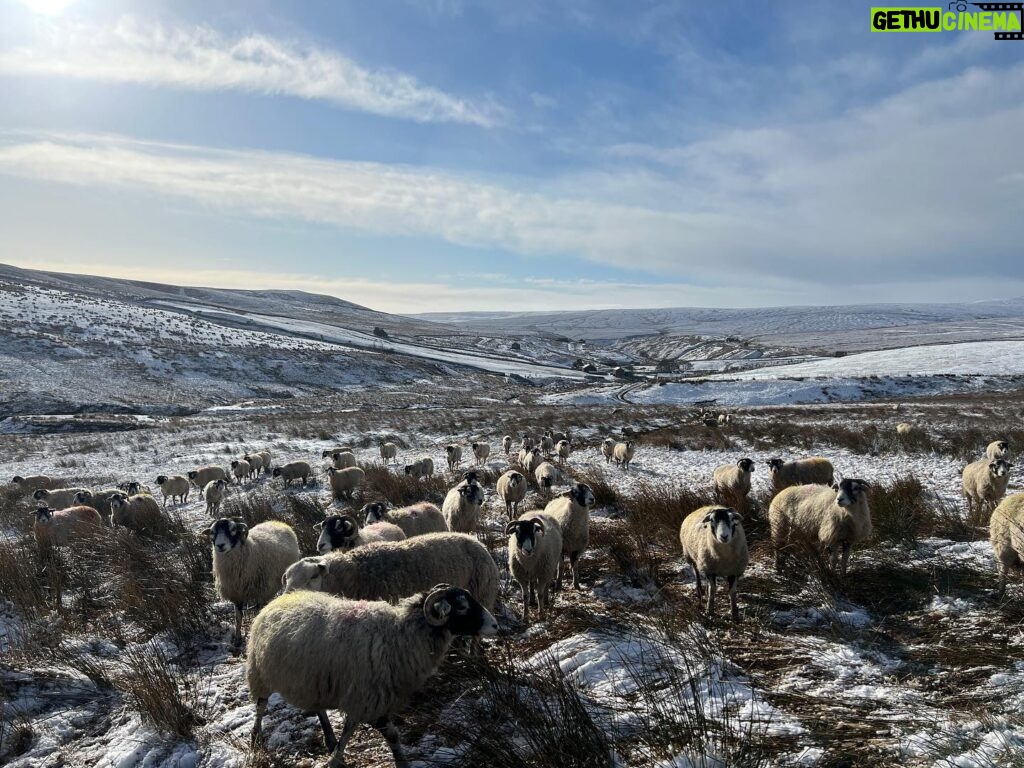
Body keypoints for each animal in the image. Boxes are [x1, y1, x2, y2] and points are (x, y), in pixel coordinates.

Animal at [202, 518, 299, 651]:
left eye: (233, 529)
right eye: (212, 532)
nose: (220, 545)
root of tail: (277, 521)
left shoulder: (261, 593)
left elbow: (259, 613)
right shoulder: (237, 594)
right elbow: (238, 618)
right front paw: (237, 640)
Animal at [251, 585, 499, 765]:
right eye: (462, 607)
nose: (495, 625)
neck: (401, 635)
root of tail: (280, 599)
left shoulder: (376, 696)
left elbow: (390, 735)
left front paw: (401, 762)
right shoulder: (367, 696)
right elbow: (366, 731)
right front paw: (335, 760)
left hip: (313, 680)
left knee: (319, 707)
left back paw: (329, 737)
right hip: (259, 672)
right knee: (261, 706)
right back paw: (255, 737)